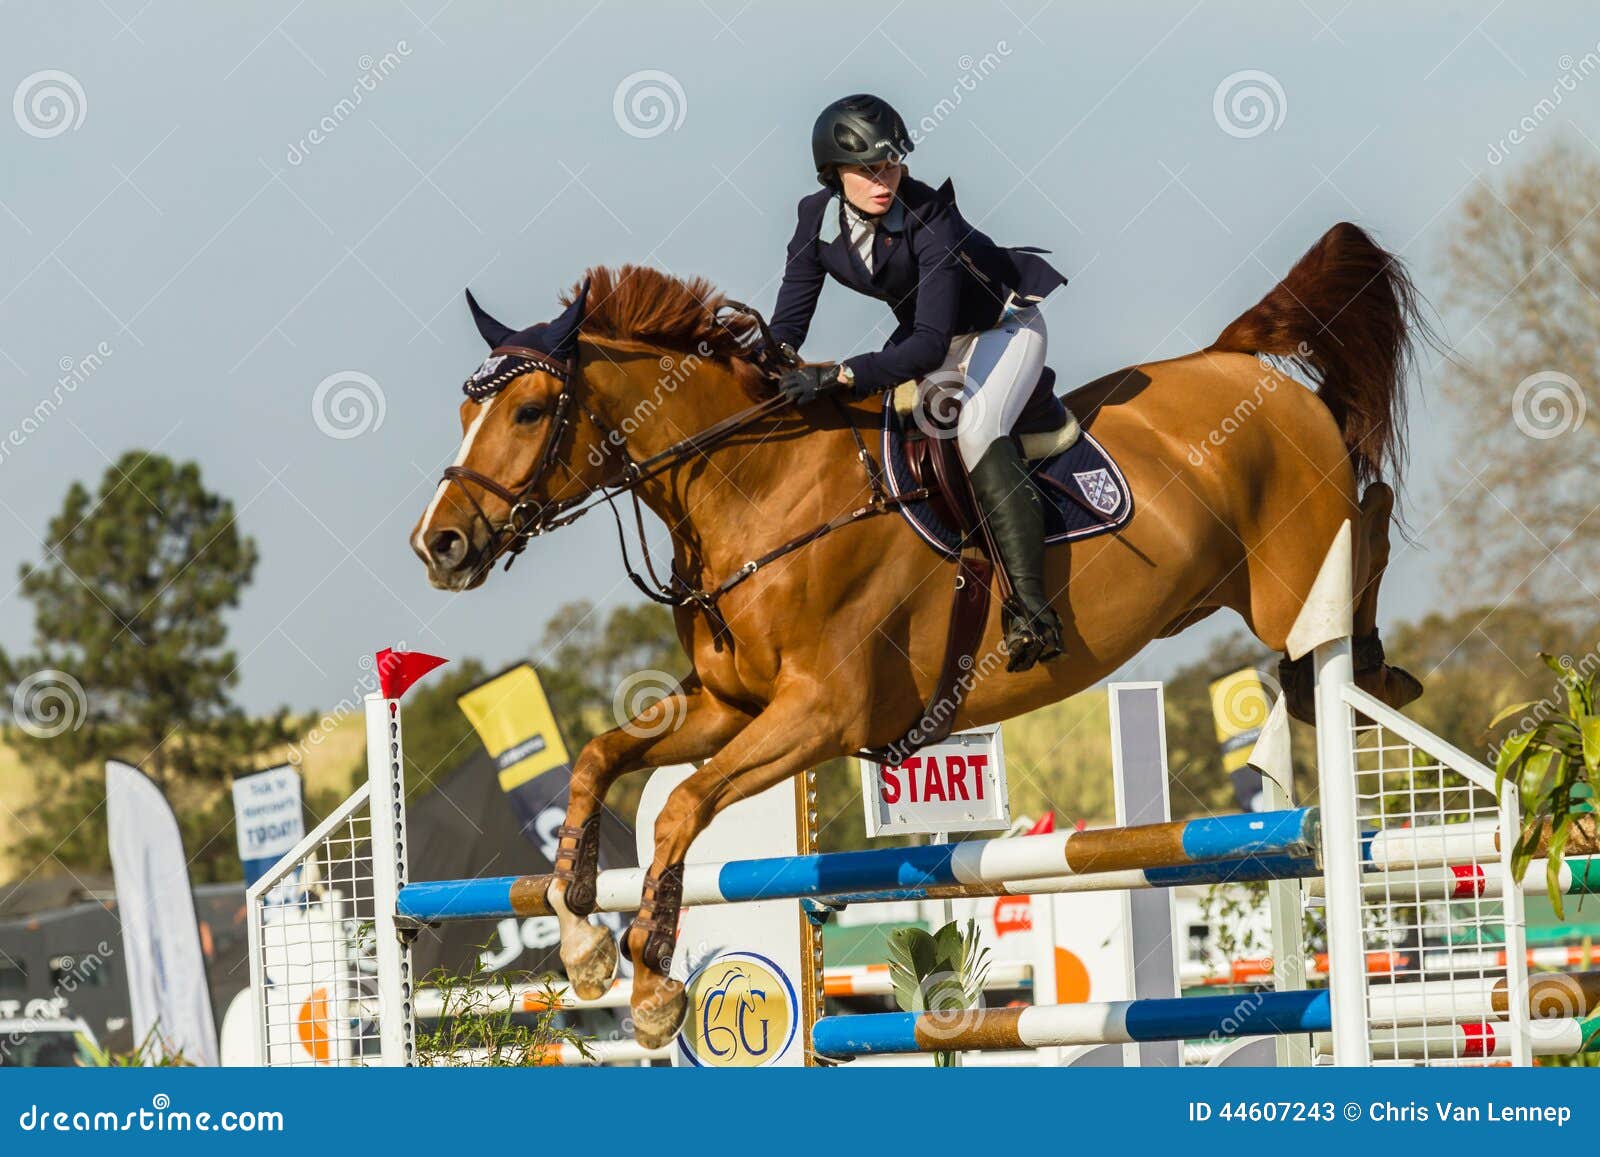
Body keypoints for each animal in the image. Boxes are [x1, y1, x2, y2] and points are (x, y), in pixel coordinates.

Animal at [412, 222, 1427, 1043]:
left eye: (529, 411)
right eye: (465, 411)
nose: (440, 542)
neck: (761, 491)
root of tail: (1236, 360)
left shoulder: (820, 713)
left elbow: (681, 804)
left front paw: (656, 981)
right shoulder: (730, 705)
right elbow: (597, 760)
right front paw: (585, 939)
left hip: (1290, 581)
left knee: (1370, 518)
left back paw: (1376, 668)